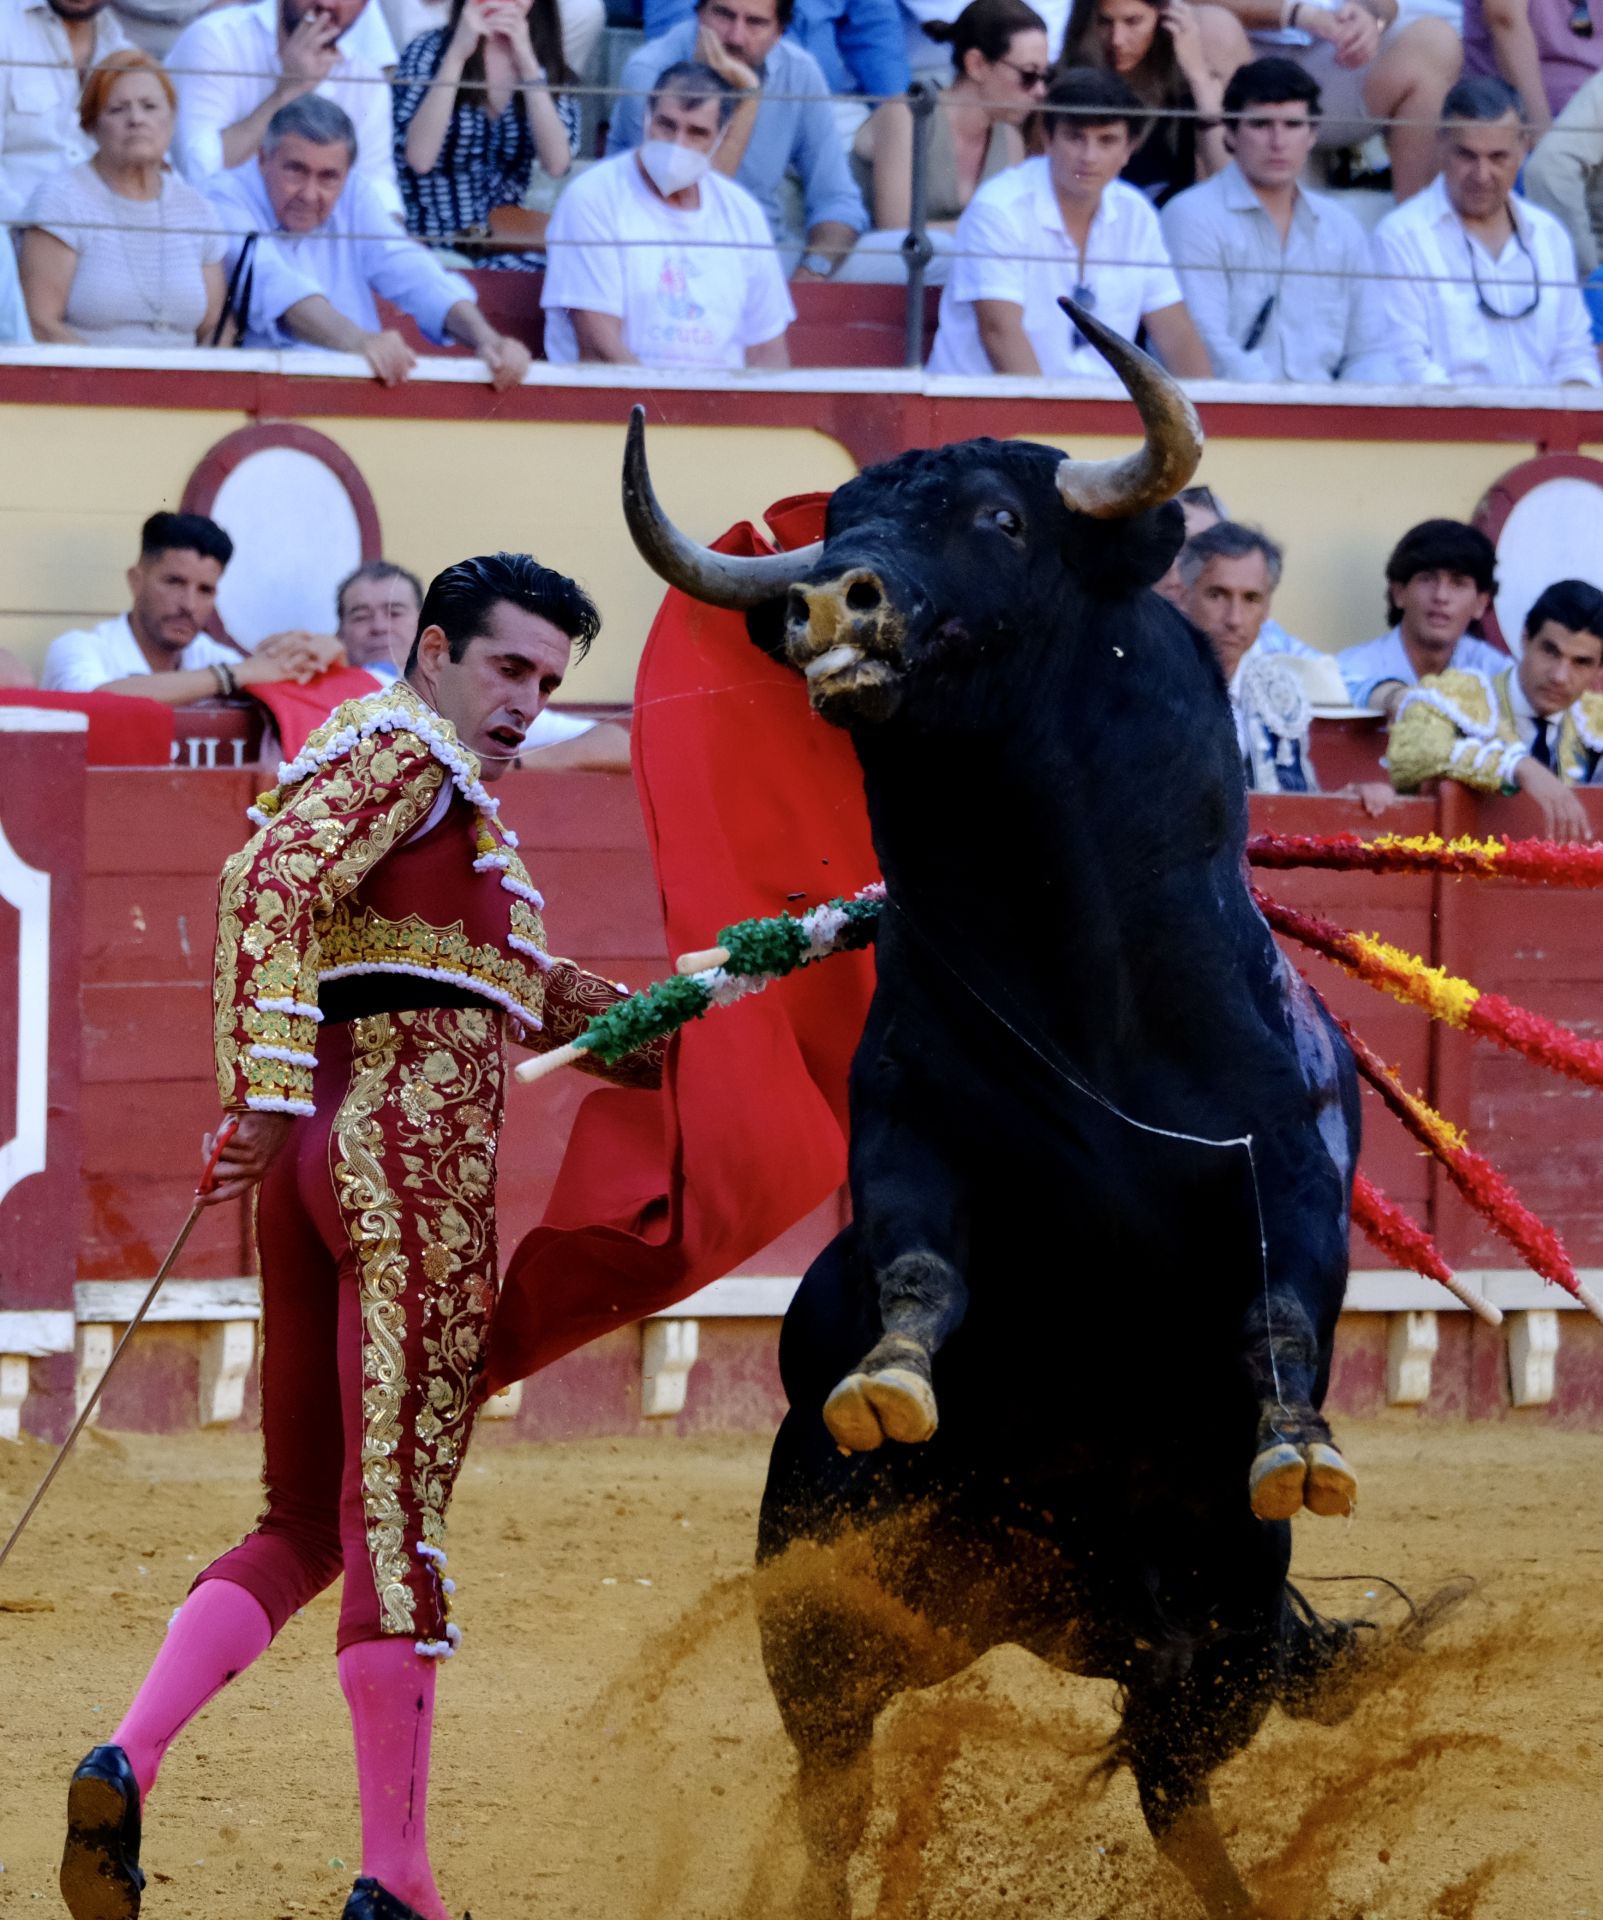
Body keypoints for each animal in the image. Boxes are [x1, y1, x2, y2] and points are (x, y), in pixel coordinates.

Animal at [622, 322, 1382, 1912]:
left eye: (995, 519)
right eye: (844, 523)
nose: (823, 598)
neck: (1085, 994)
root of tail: (1046, 1613)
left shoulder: (1291, 1164)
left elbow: (1277, 1315)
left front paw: (1297, 1446)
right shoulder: (906, 1133)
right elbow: (920, 1269)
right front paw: (887, 1383)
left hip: (1214, 1637)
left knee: (1172, 1788)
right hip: (830, 1616)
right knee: (837, 1791)